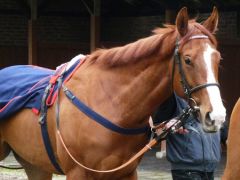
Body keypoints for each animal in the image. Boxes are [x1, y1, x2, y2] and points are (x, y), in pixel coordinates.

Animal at [0, 7, 225, 180]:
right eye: (188, 59)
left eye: (218, 59)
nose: (216, 116)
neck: (110, 102)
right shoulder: (77, 173)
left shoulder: (127, 172)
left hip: (34, 164)